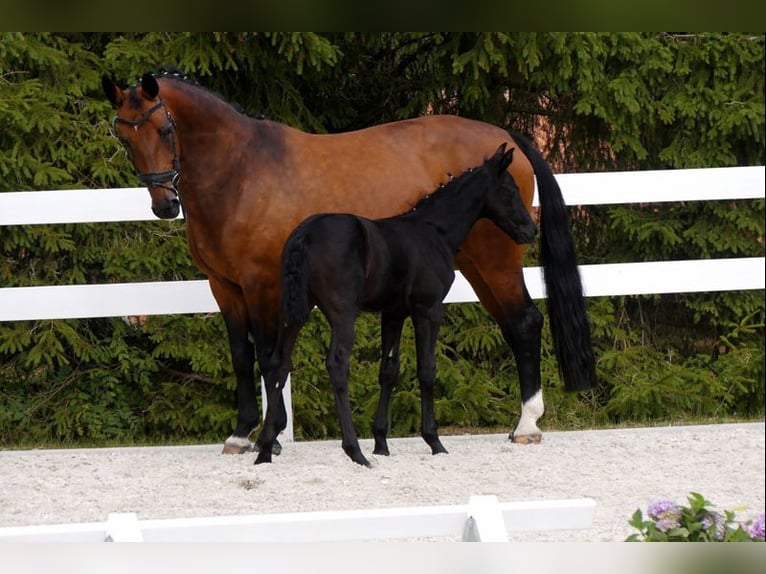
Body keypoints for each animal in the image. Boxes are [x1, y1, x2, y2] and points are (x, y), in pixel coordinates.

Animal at [256, 143, 536, 466]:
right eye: (510, 190)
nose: (531, 231)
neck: (433, 231)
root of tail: (305, 234)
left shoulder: (393, 313)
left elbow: (388, 370)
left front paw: (381, 442)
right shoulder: (428, 309)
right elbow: (426, 370)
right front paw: (434, 440)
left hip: (294, 313)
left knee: (279, 363)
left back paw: (264, 450)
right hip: (342, 315)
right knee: (337, 364)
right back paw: (355, 451)